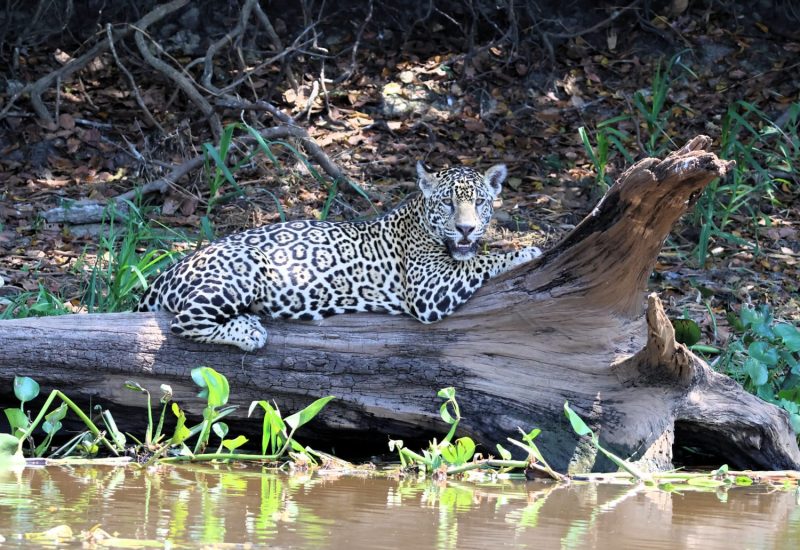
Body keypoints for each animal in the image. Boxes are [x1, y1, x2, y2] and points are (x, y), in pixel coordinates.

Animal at [137, 162, 542, 351]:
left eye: (480, 202)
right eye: (447, 203)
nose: (466, 229)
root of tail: (168, 271)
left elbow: (476, 256)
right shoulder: (429, 289)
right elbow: (481, 260)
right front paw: (525, 252)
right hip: (245, 268)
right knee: (183, 323)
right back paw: (248, 332)